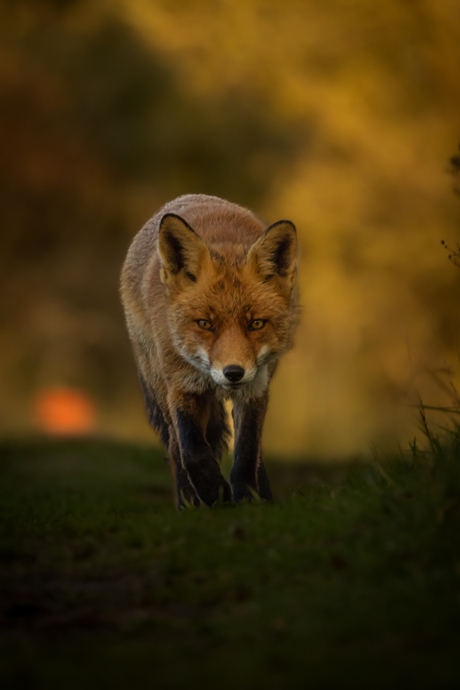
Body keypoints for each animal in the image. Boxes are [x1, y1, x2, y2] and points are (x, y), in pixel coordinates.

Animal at [120, 194, 298, 506]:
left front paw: (247, 497)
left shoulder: (256, 388)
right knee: (175, 446)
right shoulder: (182, 385)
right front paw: (212, 491)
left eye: (256, 323)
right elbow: (192, 450)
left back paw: (263, 496)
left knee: (258, 453)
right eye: (205, 323)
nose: (233, 372)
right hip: (159, 384)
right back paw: (187, 502)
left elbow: (247, 452)